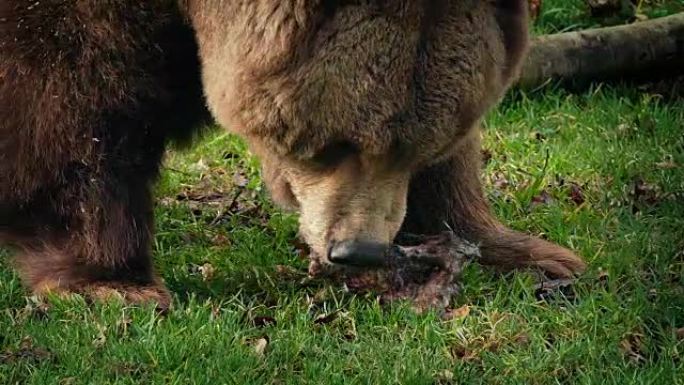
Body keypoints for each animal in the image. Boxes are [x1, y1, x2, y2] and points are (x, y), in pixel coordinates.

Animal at [1, 0, 584, 306]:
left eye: (416, 147)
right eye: (337, 143)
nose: (358, 250)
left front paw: (531, 254)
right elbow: (79, 102)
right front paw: (111, 282)